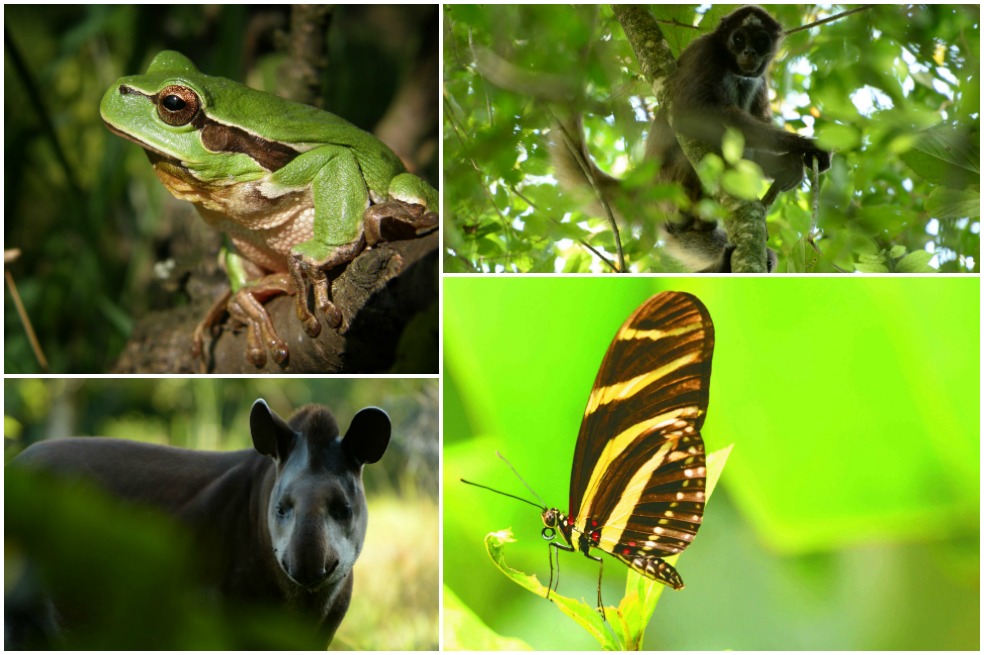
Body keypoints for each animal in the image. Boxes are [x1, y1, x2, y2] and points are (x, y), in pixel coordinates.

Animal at [552, 5, 832, 272]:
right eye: (739, 39)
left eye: (761, 41)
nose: (750, 52)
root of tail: (646, 186)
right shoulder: (706, 52)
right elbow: (690, 114)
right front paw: (804, 145)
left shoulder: (759, 79)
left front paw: (787, 164)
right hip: (671, 183)